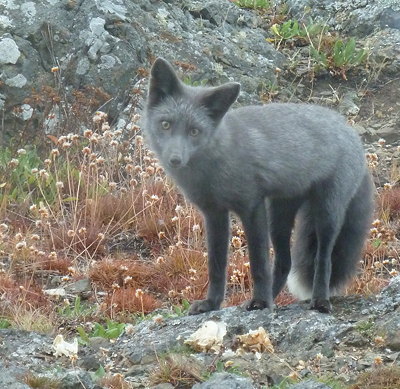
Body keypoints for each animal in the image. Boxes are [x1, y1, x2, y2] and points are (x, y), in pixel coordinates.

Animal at [144, 57, 376, 314]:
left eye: (194, 131)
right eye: (166, 125)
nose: (174, 159)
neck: (216, 162)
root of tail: (351, 132)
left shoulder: (251, 206)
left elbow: (259, 263)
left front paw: (260, 301)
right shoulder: (214, 213)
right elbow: (216, 265)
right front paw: (212, 303)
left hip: (327, 213)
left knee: (322, 258)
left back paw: (319, 300)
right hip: (279, 217)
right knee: (285, 262)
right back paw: (273, 299)